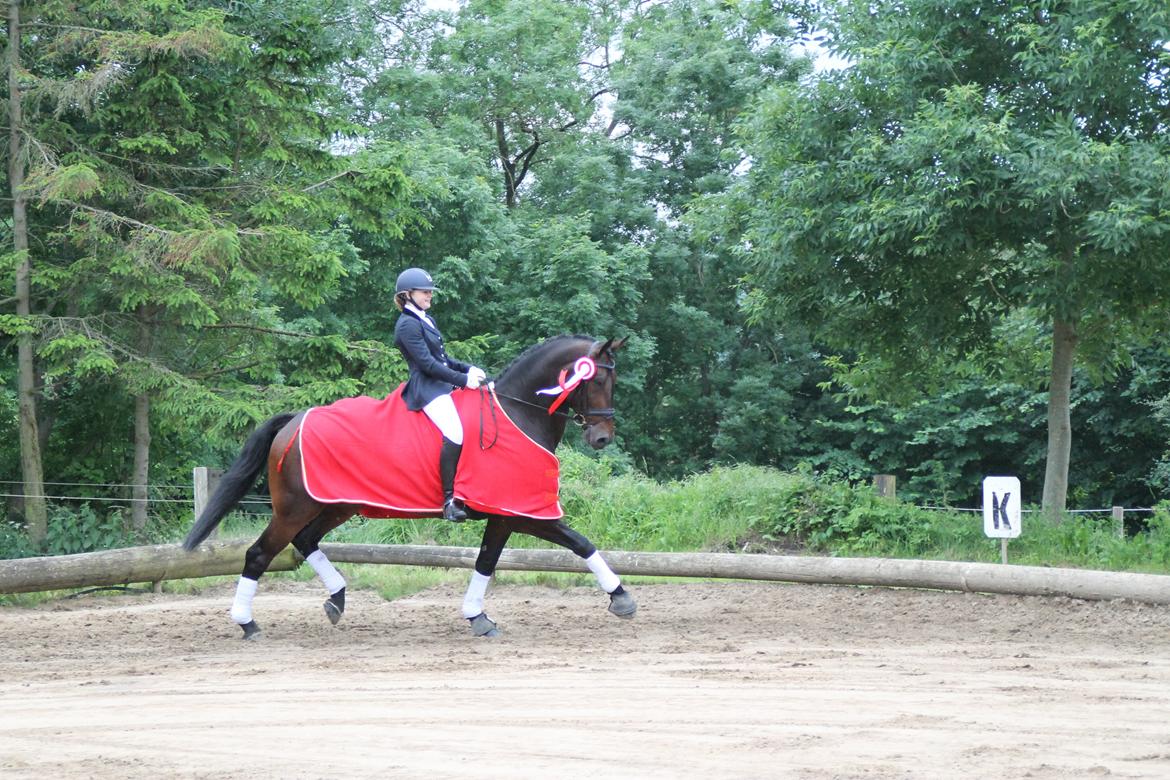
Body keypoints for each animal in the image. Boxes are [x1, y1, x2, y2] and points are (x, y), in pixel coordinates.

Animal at [183, 336, 636, 640]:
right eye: (597, 381)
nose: (602, 438)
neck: (517, 413)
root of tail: (294, 420)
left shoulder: (509, 515)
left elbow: (494, 560)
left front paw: (478, 616)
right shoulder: (519, 512)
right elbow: (574, 543)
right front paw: (621, 598)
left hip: (335, 505)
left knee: (306, 541)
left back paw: (337, 599)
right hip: (296, 507)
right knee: (260, 554)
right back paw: (248, 623)